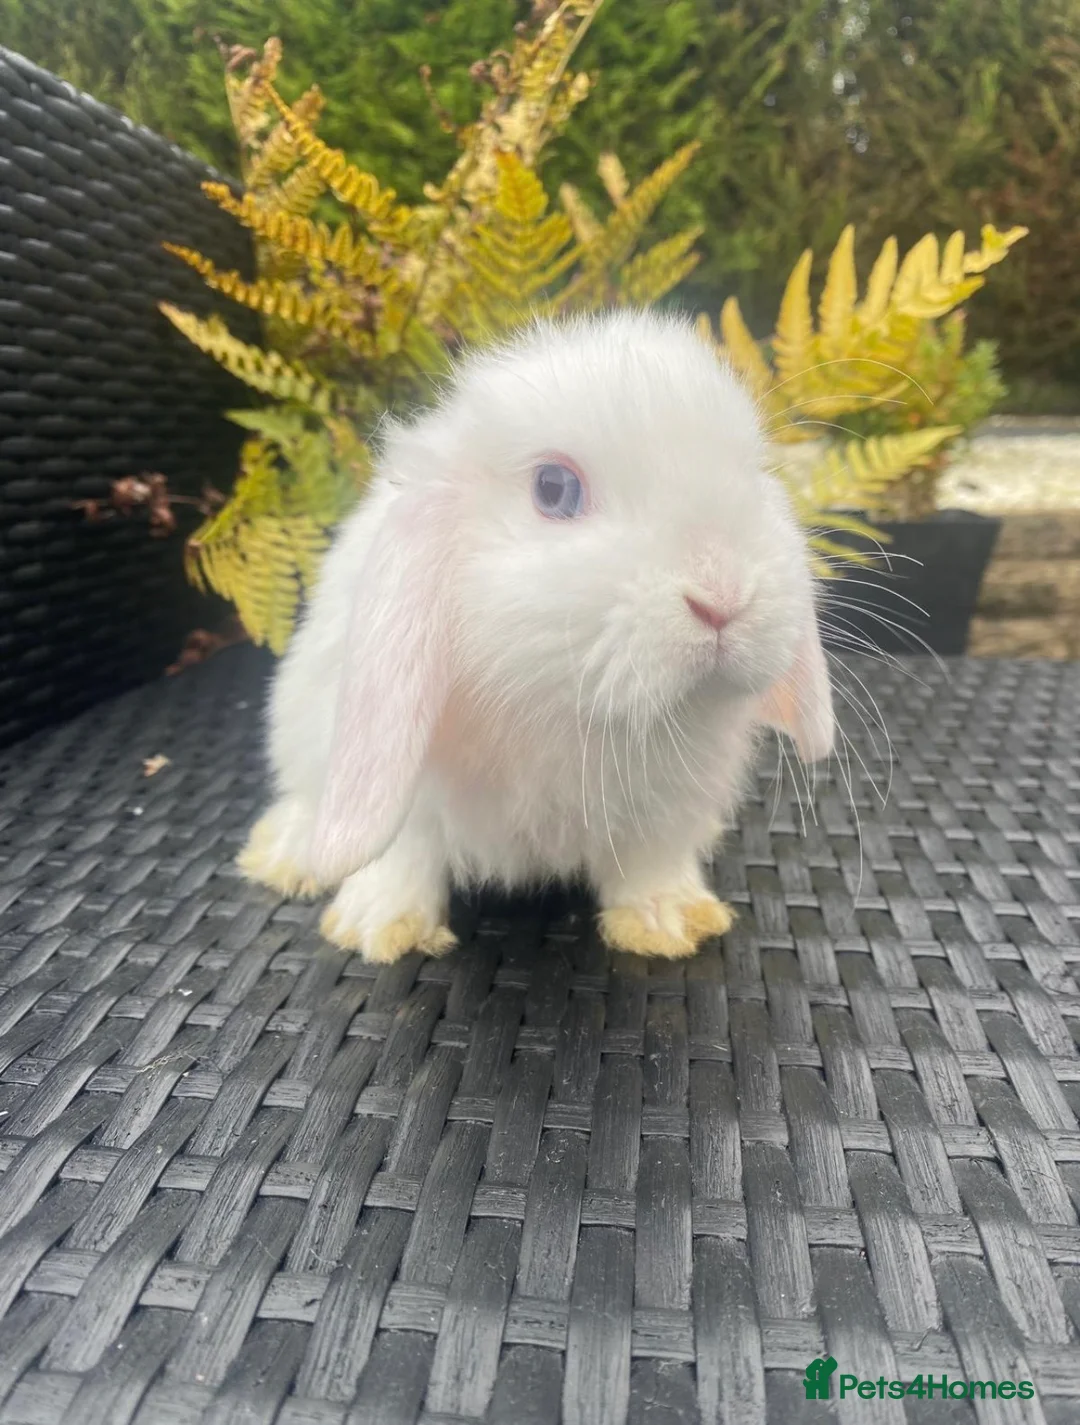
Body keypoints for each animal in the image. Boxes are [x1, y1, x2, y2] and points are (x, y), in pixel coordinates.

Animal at [238, 308, 834, 962]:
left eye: (752, 477)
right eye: (554, 488)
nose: (723, 596)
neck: (569, 713)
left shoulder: (663, 810)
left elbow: (649, 862)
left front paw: (668, 923)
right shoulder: (405, 792)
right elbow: (401, 855)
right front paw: (380, 929)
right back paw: (283, 857)